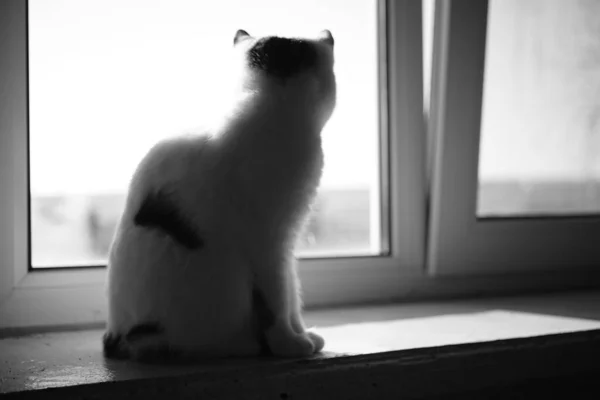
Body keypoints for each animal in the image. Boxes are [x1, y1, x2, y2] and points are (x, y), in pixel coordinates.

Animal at [103, 29, 338, 360]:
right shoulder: (269, 244)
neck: (269, 116)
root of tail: (114, 338)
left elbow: (292, 293)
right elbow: (278, 301)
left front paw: (302, 334)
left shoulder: (287, 241)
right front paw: (288, 344)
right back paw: (248, 345)